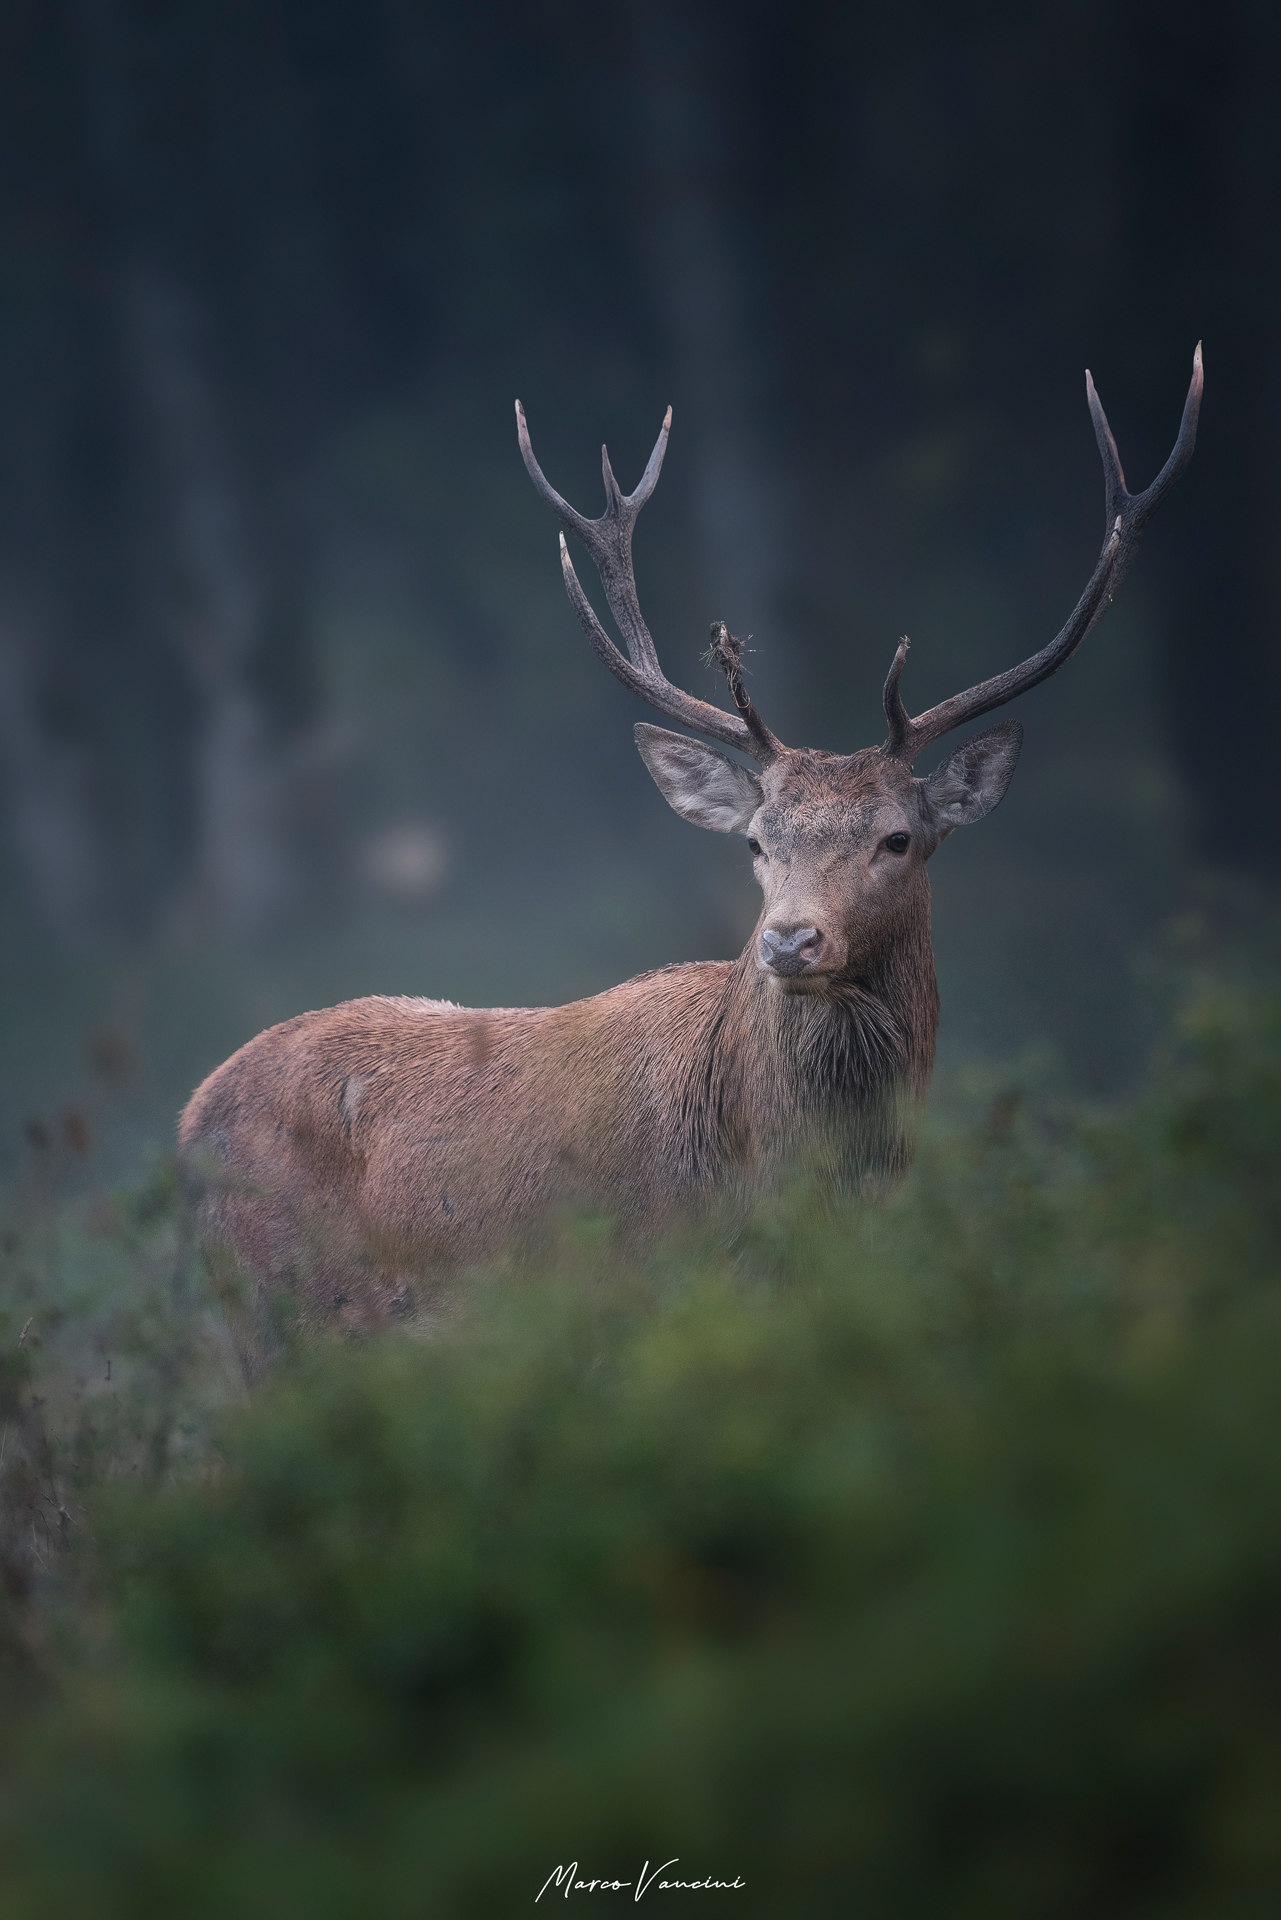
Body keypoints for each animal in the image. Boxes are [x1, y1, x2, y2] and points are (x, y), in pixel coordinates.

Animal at [181, 347, 1202, 1339]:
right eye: (754, 841)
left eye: (898, 838)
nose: (789, 941)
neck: (780, 1174)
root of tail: (190, 1120)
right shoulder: (632, 1282)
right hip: (279, 1309)